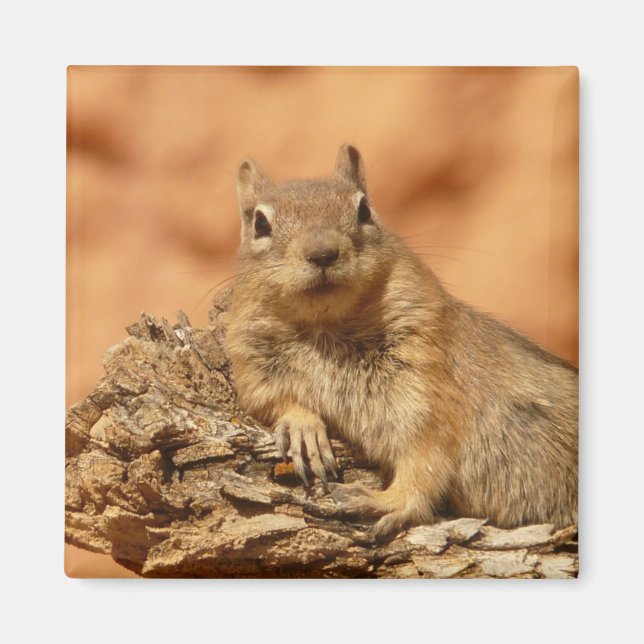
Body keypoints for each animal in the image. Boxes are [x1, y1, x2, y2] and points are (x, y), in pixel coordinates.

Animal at [223, 144, 578, 538]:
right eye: (260, 223)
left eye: (364, 210)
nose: (322, 252)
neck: (325, 327)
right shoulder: (252, 362)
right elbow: (271, 399)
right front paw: (303, 427)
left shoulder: (425, 383)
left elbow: (426, 457)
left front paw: (387, 500)